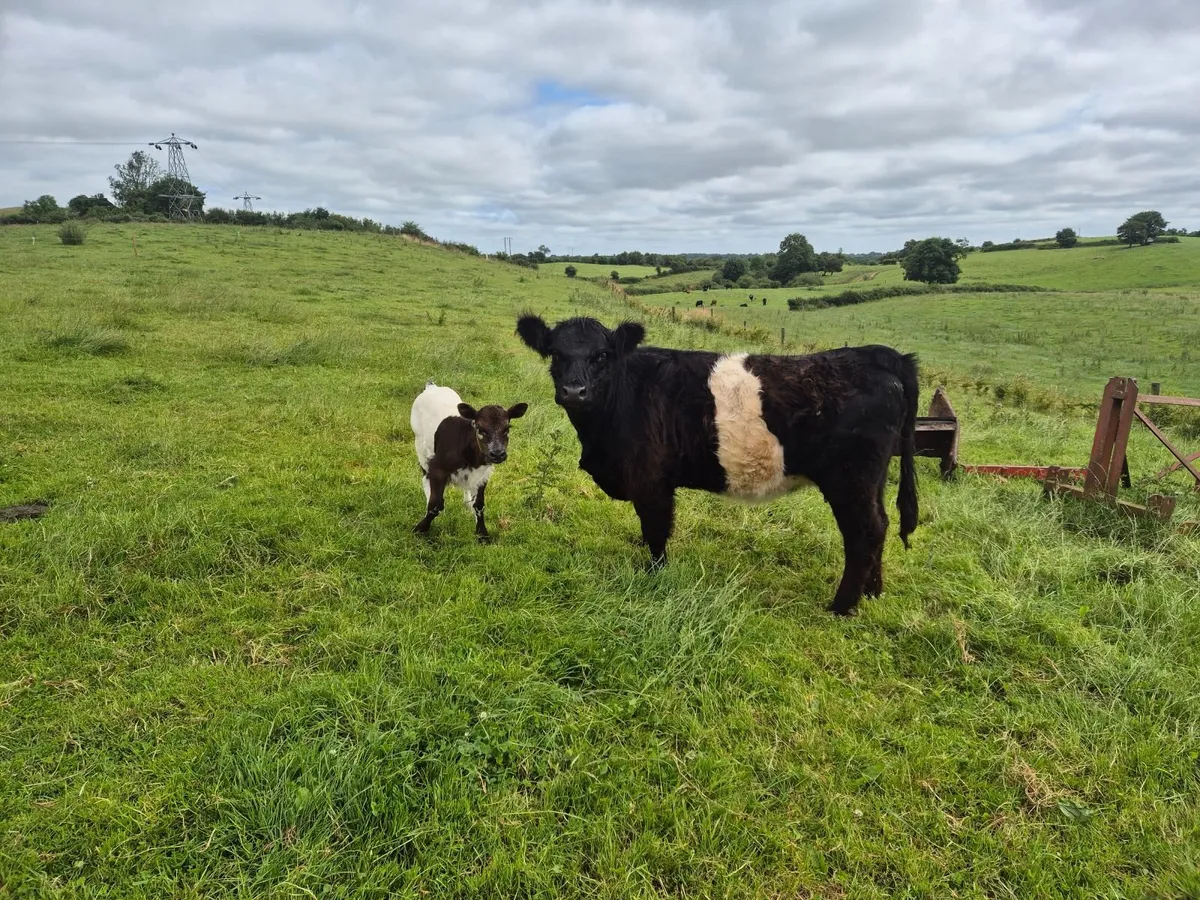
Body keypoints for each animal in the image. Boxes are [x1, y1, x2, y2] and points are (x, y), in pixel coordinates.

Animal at [410, 382, 527, 542]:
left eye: (507, 428)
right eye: (479, 428)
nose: (497, 454)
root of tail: (432, 387)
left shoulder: (483, 474)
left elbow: (479, 505)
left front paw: (482, 534)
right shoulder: (438, 468)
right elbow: (435, 505)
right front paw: (420, 528)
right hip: (420, 446)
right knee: (424, 476)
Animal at [516, 315, 918, 615]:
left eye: (601, 355)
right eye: (555, 353)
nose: (573, 391)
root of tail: (879, 356)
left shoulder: (651, 480)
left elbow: (656, 531)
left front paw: (655, 575)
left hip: (850, 479)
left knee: (864, 532)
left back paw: (842, 607)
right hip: (873, 479)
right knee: (881, 524)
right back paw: (872, 593)